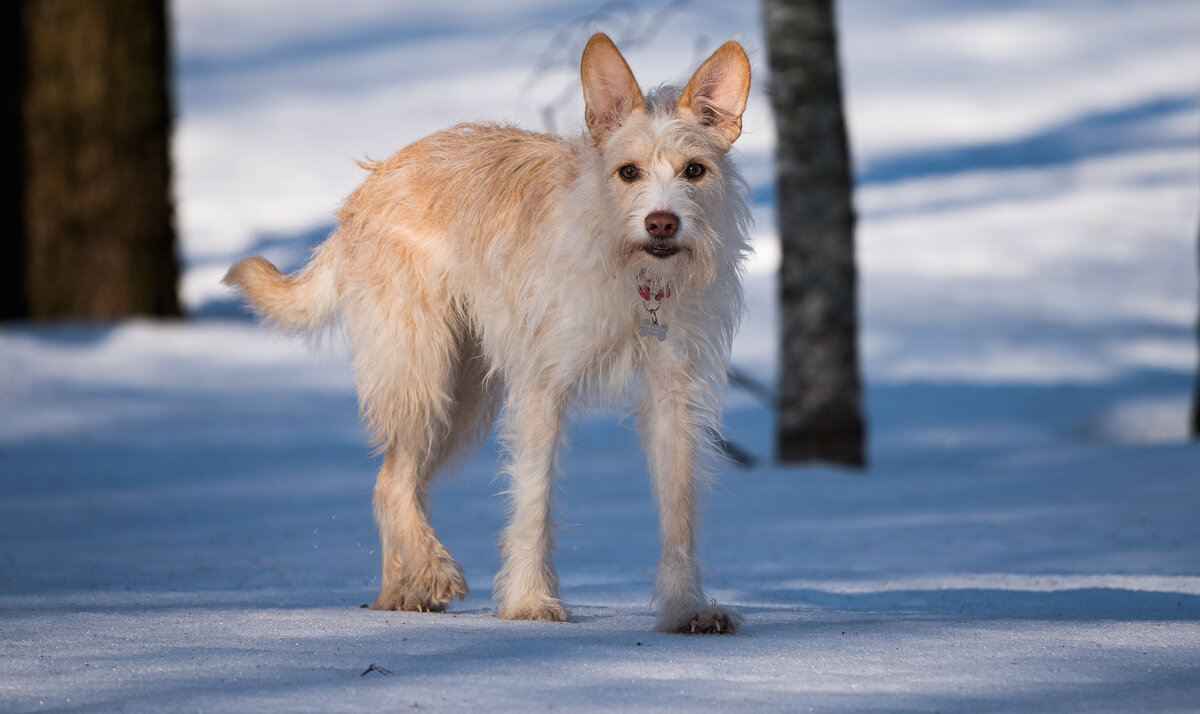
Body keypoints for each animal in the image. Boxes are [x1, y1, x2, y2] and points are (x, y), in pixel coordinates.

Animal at [225, 33, 748, 638]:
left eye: (695, 171)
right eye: (628, 172)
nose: (662, 223)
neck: (633, 276)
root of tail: (368, 185)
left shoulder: (671, 397)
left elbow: (678, 510)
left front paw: (686, 608)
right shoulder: (541, 390)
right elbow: (533, 501)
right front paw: (528, 602)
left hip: (465, 396)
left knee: (394, 479)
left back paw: (399, 590)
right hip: (423, 371)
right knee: (393, 480)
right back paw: (432, 570)